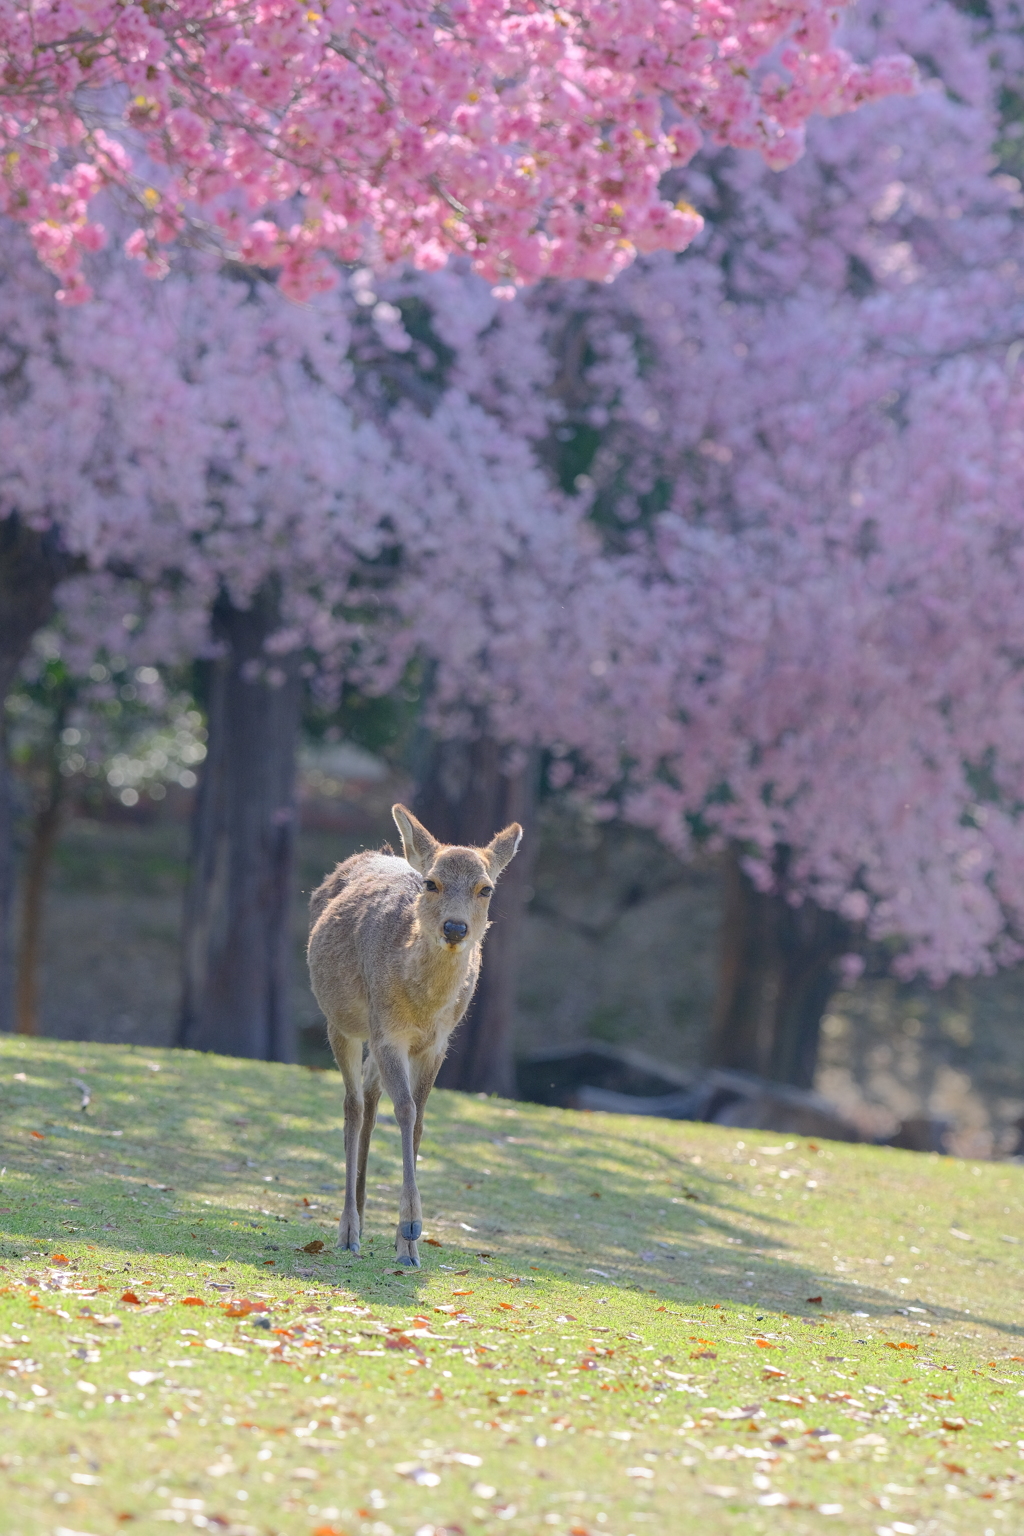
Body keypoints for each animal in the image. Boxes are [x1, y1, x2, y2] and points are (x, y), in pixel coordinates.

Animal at [307, 798, 521, 1265]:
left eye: (486, 889)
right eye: (432, 883)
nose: (455, 927)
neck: (422, 1008)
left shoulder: (436, 1045)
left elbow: (420, 1118)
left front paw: (405, 1241)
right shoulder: (388, 1033)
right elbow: (404, 1110)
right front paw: (409, 1228)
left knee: (370, 1098)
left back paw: (364, 1214)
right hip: (342, 1022)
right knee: (353, 1106)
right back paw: (348, 1229)